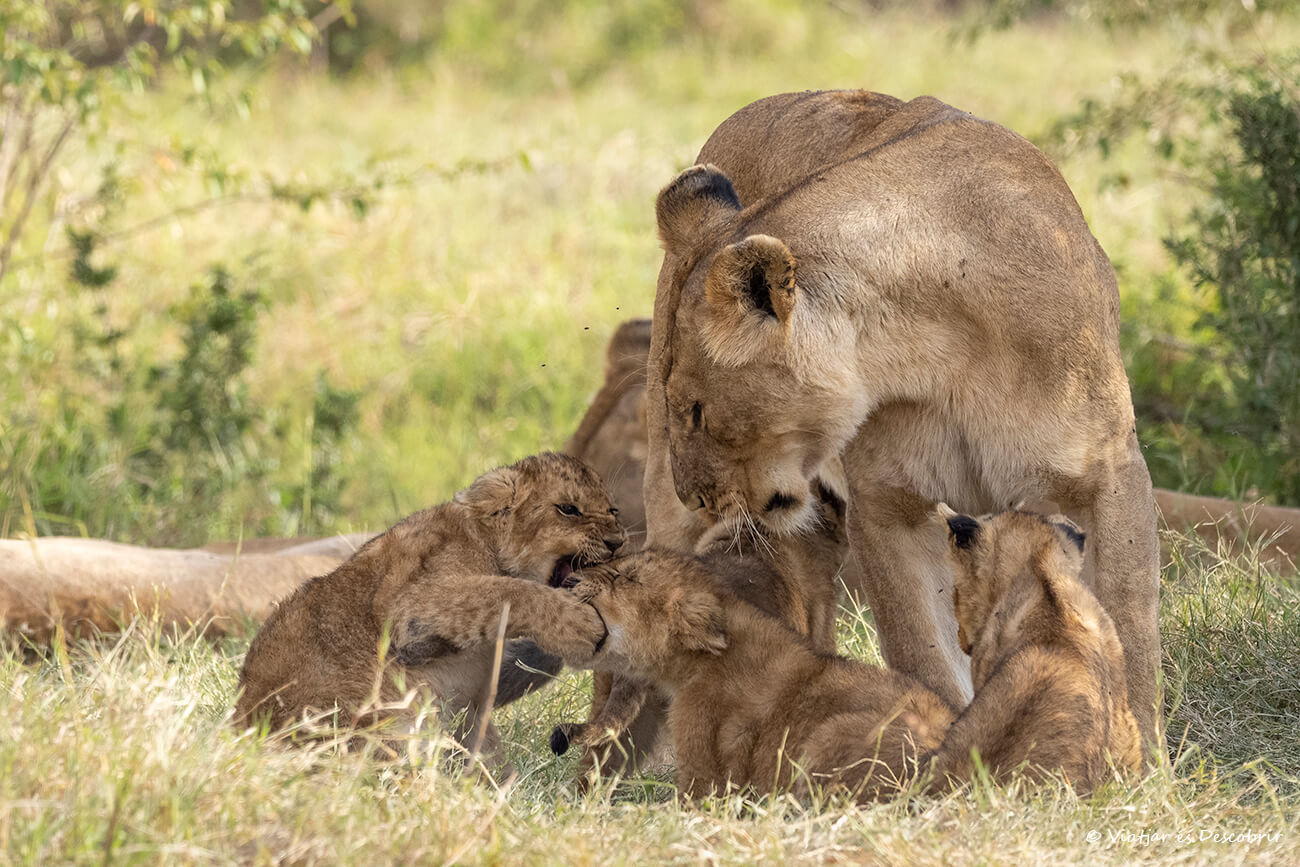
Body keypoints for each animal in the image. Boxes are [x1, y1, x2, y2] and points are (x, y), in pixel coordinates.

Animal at [233, 452, 623, 766]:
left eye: (613, 510)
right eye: (568, 509)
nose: (617, 542)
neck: (485, 538)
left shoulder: (473, 710)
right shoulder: (410, 610)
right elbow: (505, 591)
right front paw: (581, 627)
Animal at [640, 90, 1162, 749]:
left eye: (698, 411)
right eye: (679, 410)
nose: (697, 495)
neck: (933, 340)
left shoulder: (1109, 474)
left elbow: (1128, 633)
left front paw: (1140, 760)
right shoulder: (887, 505)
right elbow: (926, 656)